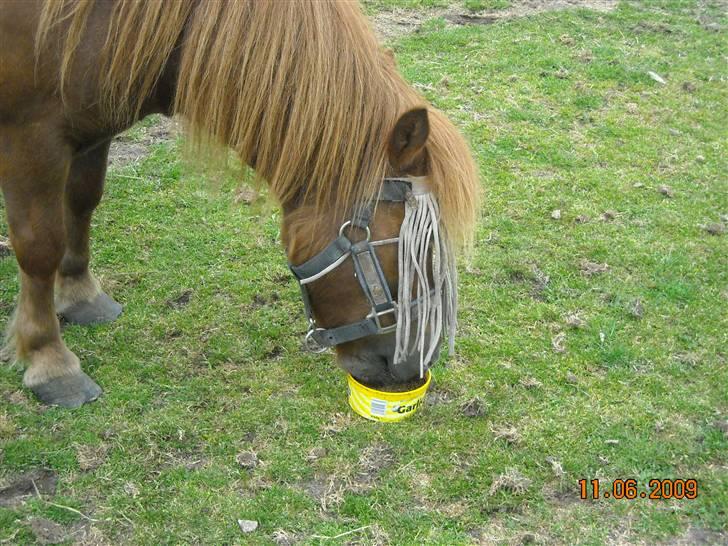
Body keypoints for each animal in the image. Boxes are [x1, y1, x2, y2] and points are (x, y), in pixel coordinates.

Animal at [0, 0, 480, 406]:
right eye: (407, 255)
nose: (413, 368)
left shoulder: (93, 128)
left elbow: (82, 203)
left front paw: (80, 294)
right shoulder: (32, 137)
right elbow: (40, 247)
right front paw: (49, 360)